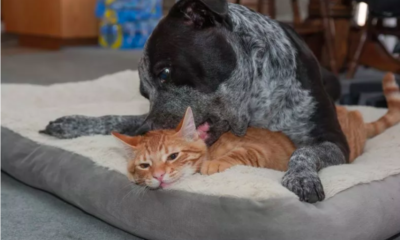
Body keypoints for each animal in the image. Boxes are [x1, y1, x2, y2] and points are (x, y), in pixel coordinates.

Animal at [39, 0, 346, 203]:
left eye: (164, 73)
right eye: (144, 92)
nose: (144, 135)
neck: (254, 104)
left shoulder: (336, 142)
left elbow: (303, 152)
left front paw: (302, 178)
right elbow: (117, 118)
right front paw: (73, 123)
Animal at [112, 72, 400, 188]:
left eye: (173, 156)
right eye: (145, 165)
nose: (159, 176)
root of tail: (354, 115)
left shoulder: (260, 151)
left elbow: (242, 153)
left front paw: (214, 165)